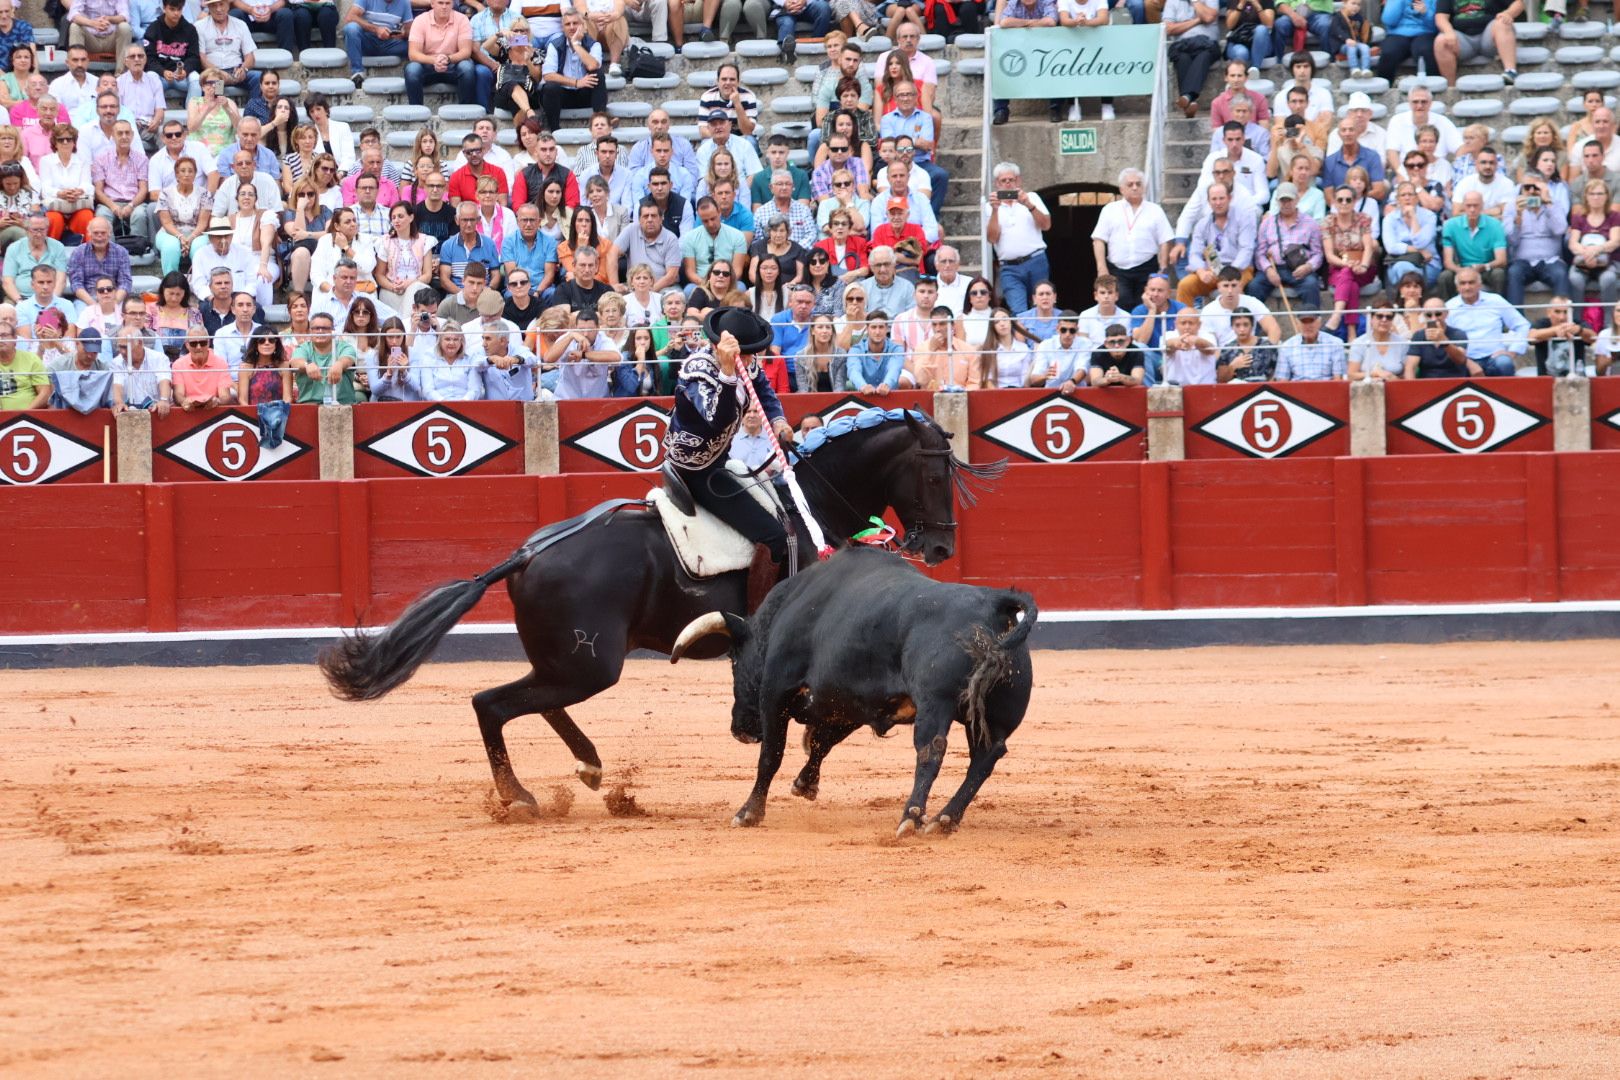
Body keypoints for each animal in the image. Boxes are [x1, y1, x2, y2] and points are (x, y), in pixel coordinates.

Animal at [317, 414, 1004, 819]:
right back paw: (522, 795)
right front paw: (800, 772)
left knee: (533, 701)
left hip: (570, 659)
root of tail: (524, 556)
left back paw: (591, 769)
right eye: (935, 472)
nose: (939, 547)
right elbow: (829, 720)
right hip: (591, 663)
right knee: (492, 703)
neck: (812, 506)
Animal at [670, 550, 1036, 835]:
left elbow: (772, 756)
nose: (740, 729)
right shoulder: (851, 703)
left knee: (932, 750)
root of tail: (994, 601)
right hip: (994, 715)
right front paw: (805, 783)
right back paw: (944, 820)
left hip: (937, 704)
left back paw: (911, 819)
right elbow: (822, 742)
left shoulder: (775, 693)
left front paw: (748, 813)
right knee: (986, 757)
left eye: (734, 661)